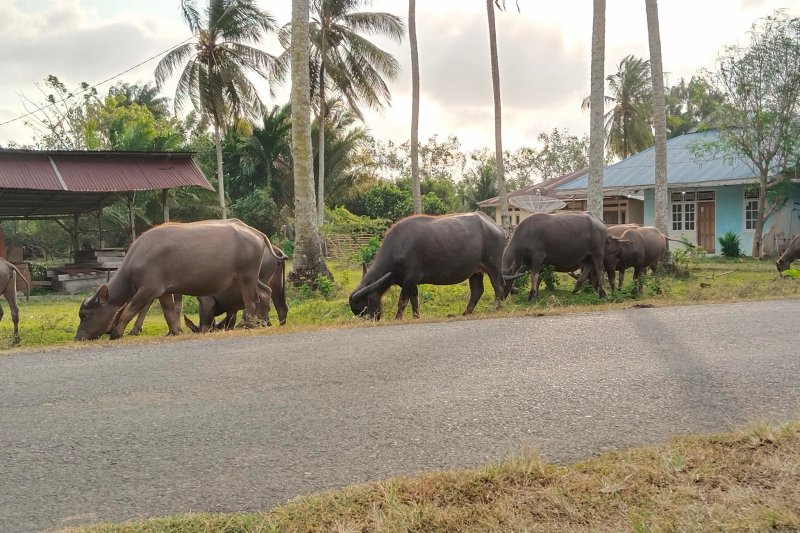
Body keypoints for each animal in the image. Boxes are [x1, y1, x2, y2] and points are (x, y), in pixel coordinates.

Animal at [76, 219, 276, 340]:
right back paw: (264, 321)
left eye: (85, 315)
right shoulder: (163, 292)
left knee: (251, 300)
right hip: (249, 277)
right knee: (265, 292)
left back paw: (250, 324)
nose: (78, 337)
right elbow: (169, 313)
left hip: (247, 276)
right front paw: (174, 331)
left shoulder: (149, 290)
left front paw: (117, 333)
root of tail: (256, 233)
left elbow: (128, 311)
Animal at [350, 212, 506, 320]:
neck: (397, 248)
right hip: (475, 271)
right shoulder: (409, 282)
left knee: (498, 288)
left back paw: (497, 309)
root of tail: (497, 227)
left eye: (362, 307)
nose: (371, 319)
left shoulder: (411, 278)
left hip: (493, 266)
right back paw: (465, 313)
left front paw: (397, 318)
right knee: (477, 291)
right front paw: (416, 317)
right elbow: (414, 301)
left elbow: (402, 301)